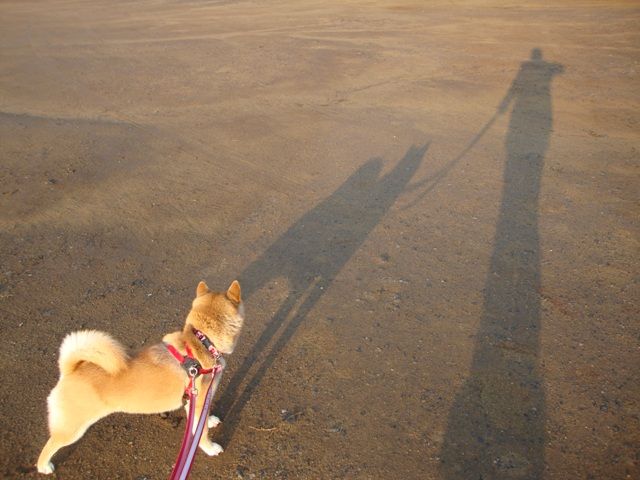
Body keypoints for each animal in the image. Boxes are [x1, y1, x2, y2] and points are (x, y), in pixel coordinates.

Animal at [36, 280, 244, 474]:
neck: (202, 342)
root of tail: (69, 371)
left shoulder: (196, 401)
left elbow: (201, 421)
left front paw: (209, 420)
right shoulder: (199, 401)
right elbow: (202, 433)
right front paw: (210, 447)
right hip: (72, 428)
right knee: (49, 447)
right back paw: (44, 466)